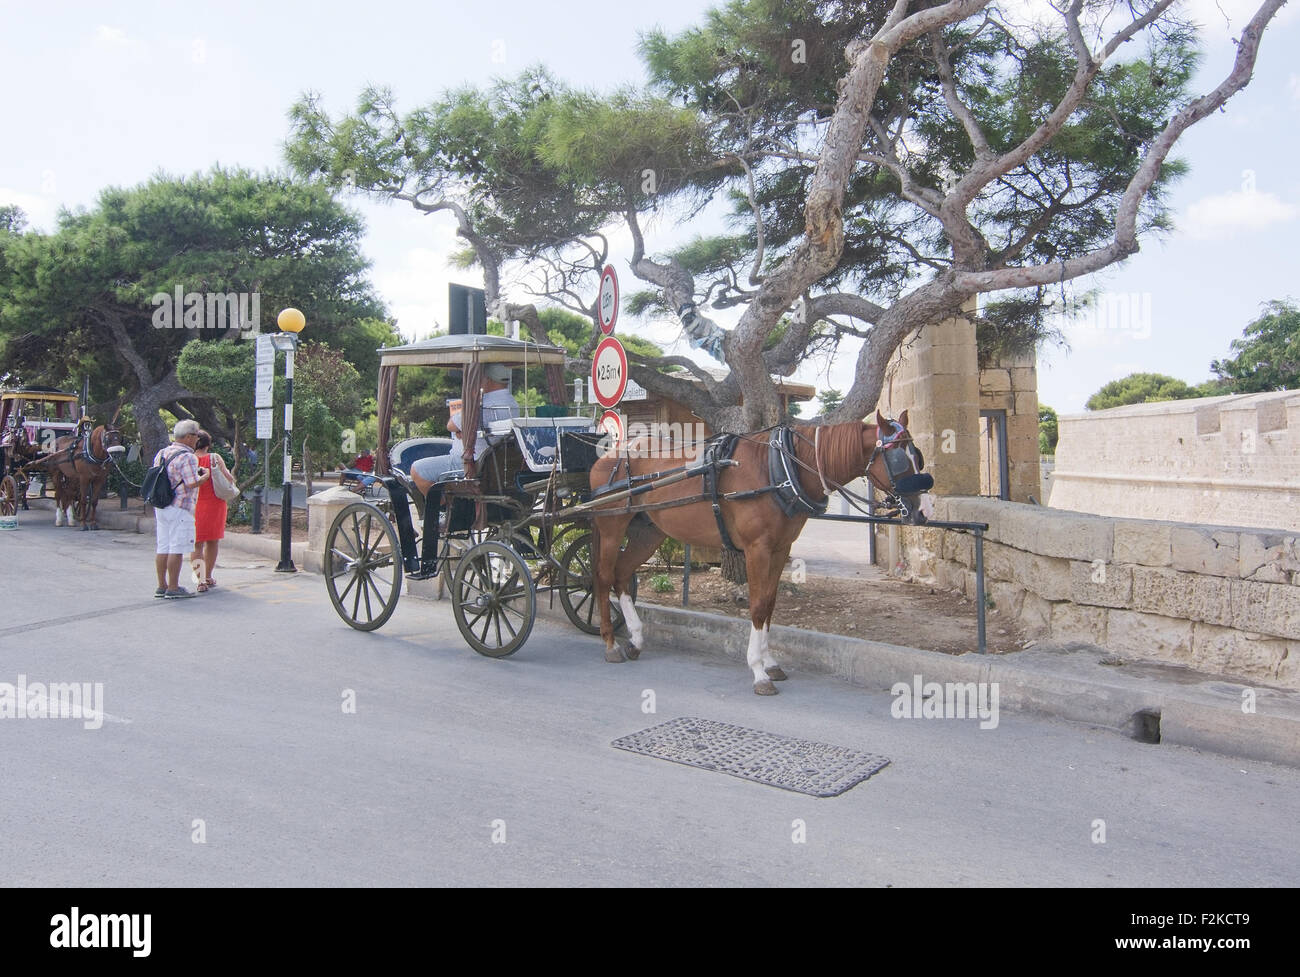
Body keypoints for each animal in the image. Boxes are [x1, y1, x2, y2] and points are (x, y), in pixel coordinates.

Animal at [585, 410, 930, 696]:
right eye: (900, 460)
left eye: (918, 457)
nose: (921, 513)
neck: (780, 468)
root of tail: (610, 455)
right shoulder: (757, 549)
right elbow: (758, 606)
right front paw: (758, 671)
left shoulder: (780, 549)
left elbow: (770, 604)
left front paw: (770, 662)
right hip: (612, 527)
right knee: (602, 576)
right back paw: (610, 643)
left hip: (649, 532)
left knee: (621, 574)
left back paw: (636, 639)